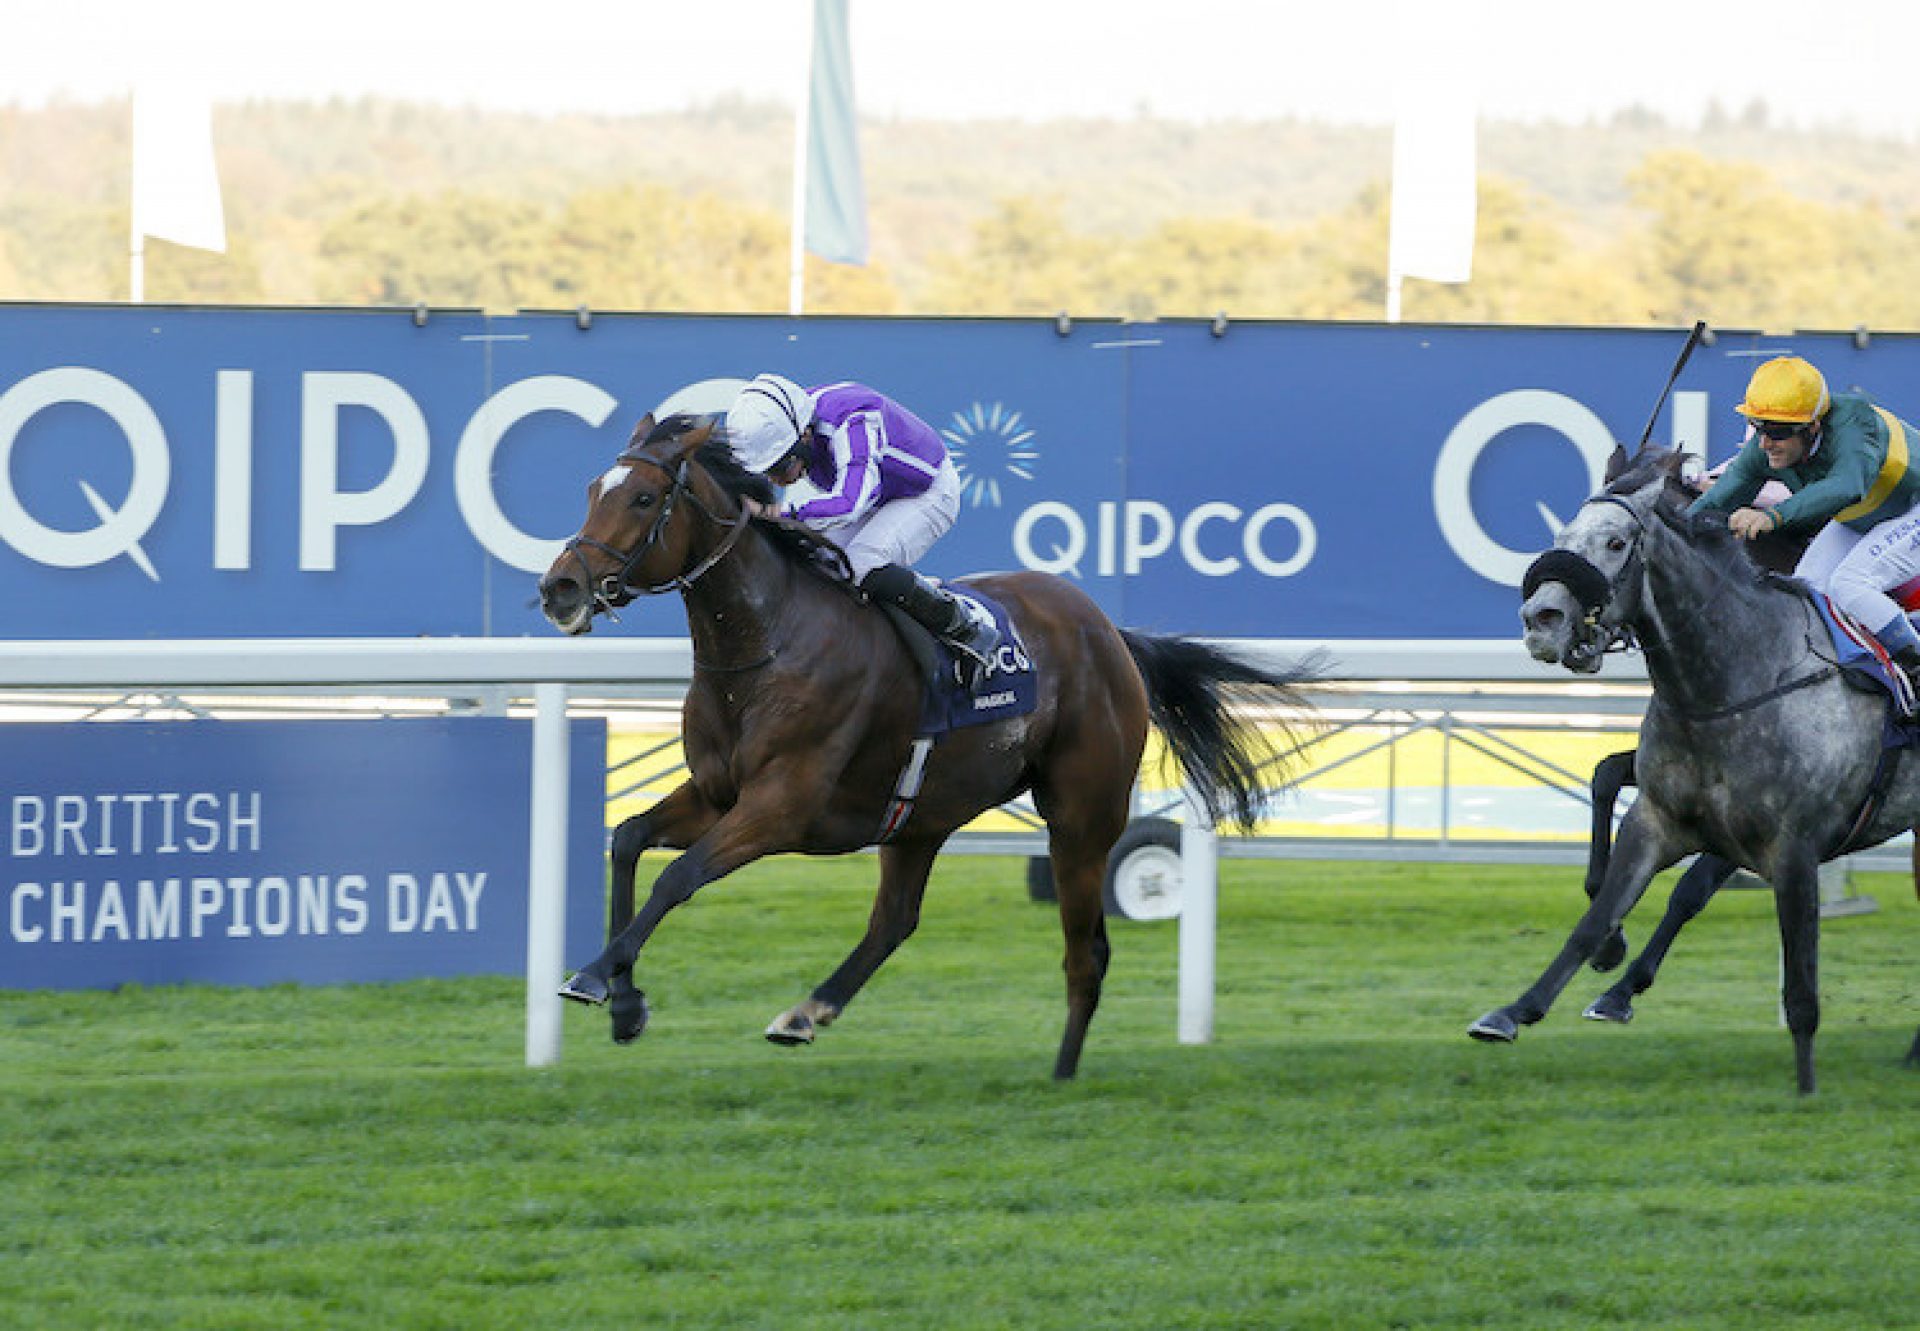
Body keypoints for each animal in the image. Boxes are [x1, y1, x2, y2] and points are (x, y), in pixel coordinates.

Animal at [537, 411, 1320, 1075]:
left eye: (643, 499)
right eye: (591, 491)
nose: (560, 587)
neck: (767, 643)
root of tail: (1111, 634)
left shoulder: (781, 805)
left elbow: (678, 876)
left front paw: (594, 976)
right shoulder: (716, 791)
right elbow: (629, 839)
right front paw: (621, 999)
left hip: (1082, 815)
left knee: (1085, 952)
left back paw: (1063, 1075)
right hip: (921, 813)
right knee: (895, 919)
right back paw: (806, 1012)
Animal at [1459, 445, 1912, 1090]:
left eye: (1616, 543)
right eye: (1562, 535)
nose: (1541, 619)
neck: (1737, 674)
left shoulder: (1785, 835)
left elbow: (1696, 896)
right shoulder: (1669, 812)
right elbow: (1607, 859)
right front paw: (1544, 995)